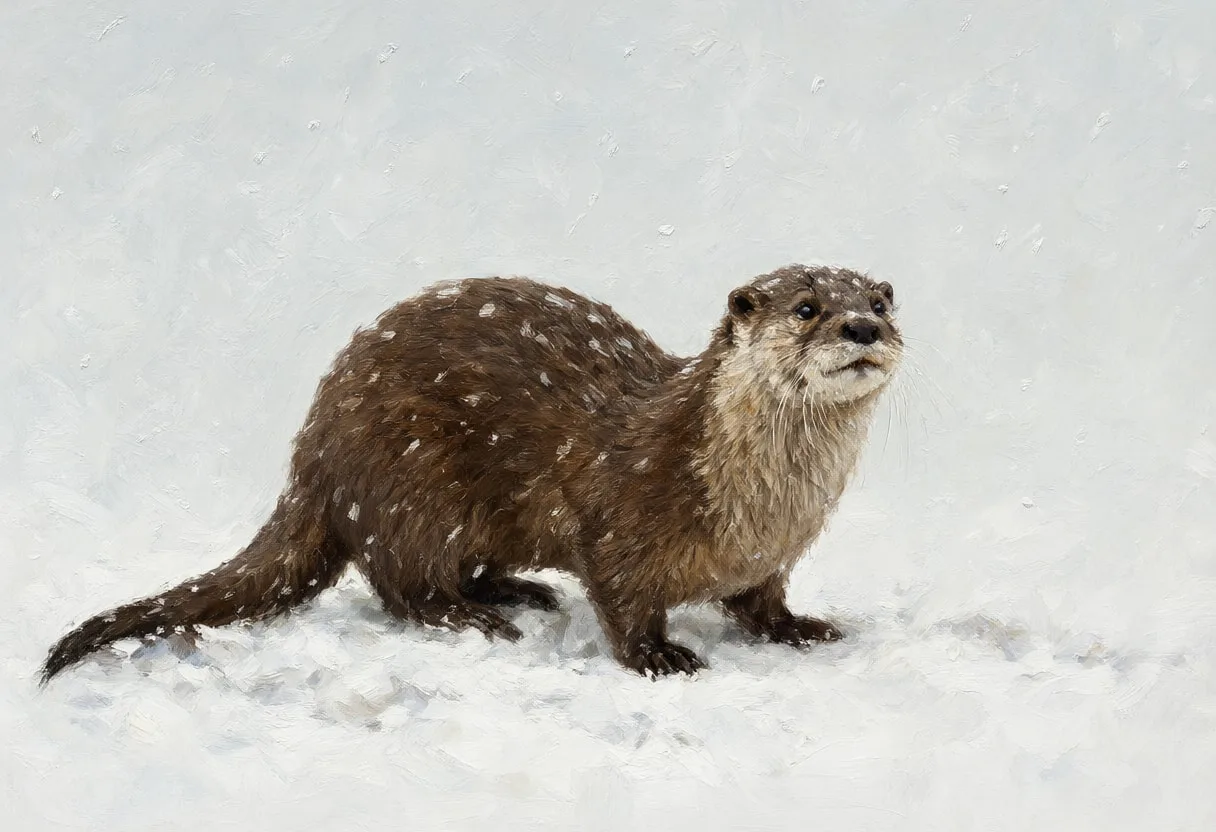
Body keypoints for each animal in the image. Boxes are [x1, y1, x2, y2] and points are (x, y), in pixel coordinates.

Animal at [40, 263, 903, 682]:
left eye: (881, 303)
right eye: (806, 309)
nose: (862, 327)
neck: (759, 503)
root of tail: (313, 455)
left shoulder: (772, 555)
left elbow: (762, 602)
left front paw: (799, 628)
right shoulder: (619, 514)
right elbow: (622, 598)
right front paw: (658, 656)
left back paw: (516, 590)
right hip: (410, 484)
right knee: (402, 584)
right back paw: (473, 615)